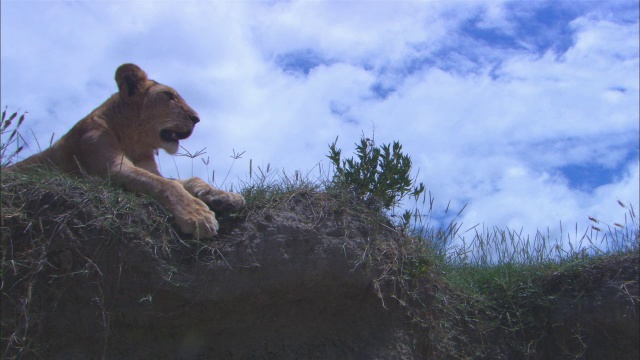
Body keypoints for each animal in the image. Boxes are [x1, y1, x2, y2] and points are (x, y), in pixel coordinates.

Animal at [8, 64, 246, 239]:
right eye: (169, 96)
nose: (196, 118)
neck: (135, 142)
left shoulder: (149, 168)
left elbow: (190, 180)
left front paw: (224, 197)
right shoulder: (110, 167)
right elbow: (167, 185)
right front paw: (197, 216)